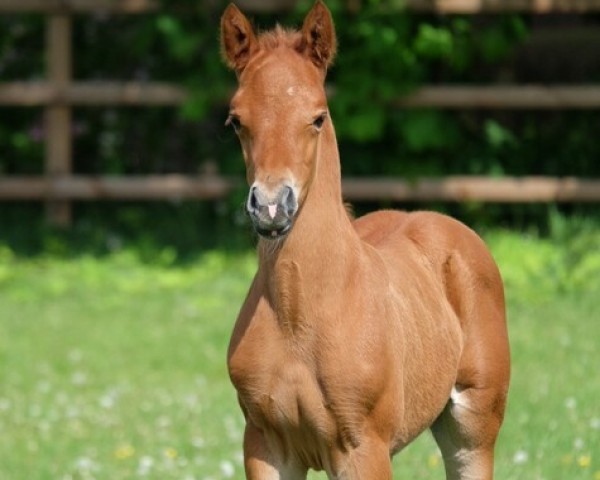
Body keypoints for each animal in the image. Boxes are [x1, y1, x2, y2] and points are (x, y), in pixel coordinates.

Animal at [220, 1, 510, 478]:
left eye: (317, 118)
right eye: (236, 121)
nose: (271, 207)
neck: (298, 314)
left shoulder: (364, 449)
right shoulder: (264, 445)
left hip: (473, 428)